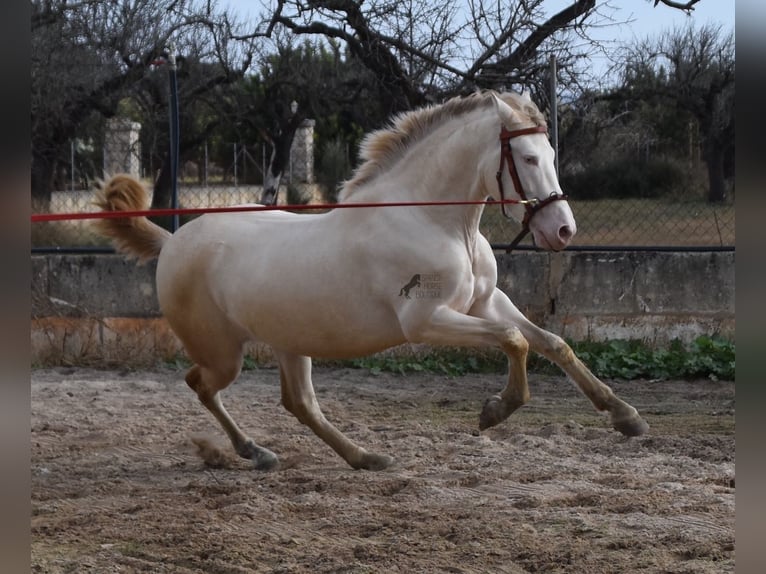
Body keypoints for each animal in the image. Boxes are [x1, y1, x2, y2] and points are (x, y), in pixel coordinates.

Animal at [94, 90, 648, 472]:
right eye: (529, 159)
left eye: (550, 155)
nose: (563, 230)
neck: (437, 221)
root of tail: (172, 243)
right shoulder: (426, 321)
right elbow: (517, 341)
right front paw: (495, 411)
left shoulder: (485, 303)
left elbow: (553, 343)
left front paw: (625, 416)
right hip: (223, 352)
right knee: (202, 385)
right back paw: (255, 450)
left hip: (291, 341)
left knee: (299, 403)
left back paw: (362, 458)